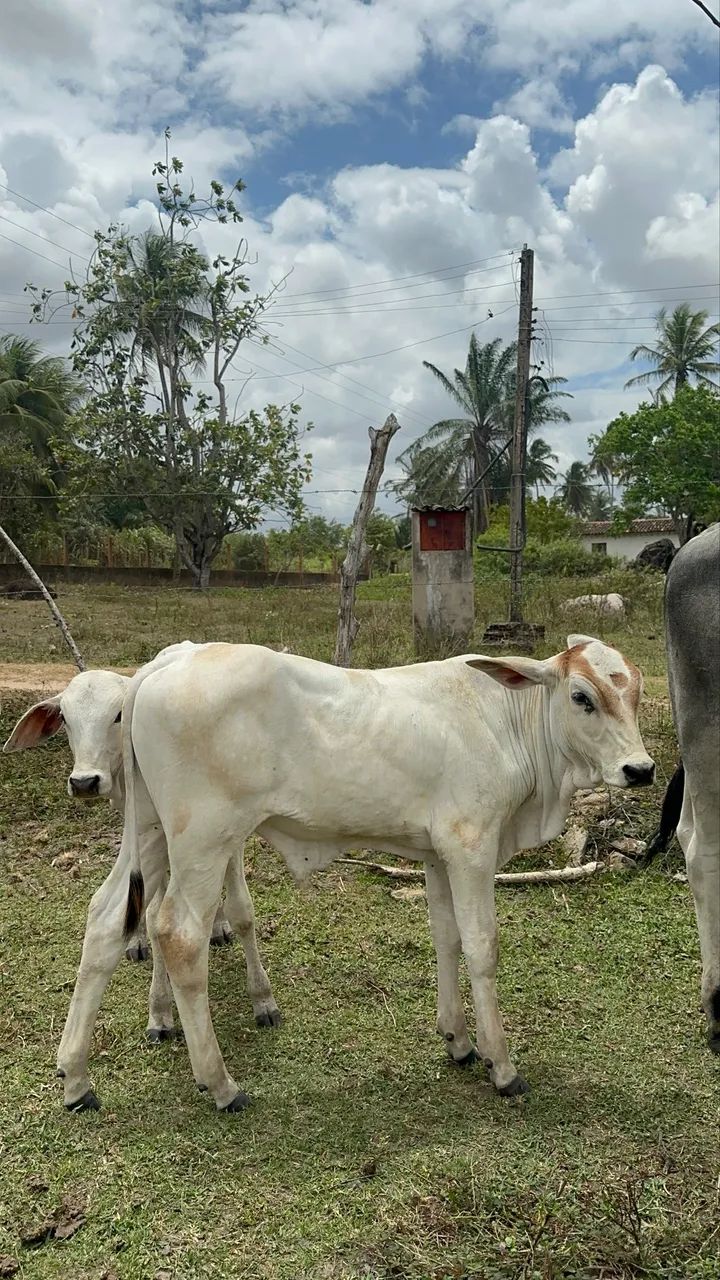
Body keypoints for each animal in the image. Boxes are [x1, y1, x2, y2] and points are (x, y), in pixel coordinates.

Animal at [3, 646, 281, 1051]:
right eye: (65, 719)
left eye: (118, 714)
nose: (84, 782)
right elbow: (152, 918)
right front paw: (160, 1011)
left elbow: (242, 912)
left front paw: (263, 1000)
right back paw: (136, 940)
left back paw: (215, 926)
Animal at [50, 634, 654, 1115]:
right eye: (582, 697)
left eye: (635, 693)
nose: (641, 769)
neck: (504, 720)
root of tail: (167, 664)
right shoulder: (471, 848)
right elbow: (481, 947)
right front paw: (501, 1066)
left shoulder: (437, 855)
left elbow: (446, 938)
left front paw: (458, 1040)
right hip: (203, 840)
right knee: (177, 933)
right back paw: (221, 1084)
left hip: (150, 831)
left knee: (106, 918)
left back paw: (76, 1078)